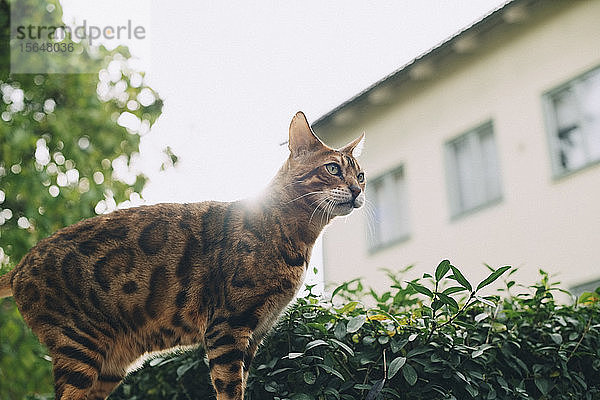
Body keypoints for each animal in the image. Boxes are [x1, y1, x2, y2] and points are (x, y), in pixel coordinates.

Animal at [0, 111, 366, 400]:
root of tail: (19, 267)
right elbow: (229, 389)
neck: (294, 235)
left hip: (110, 363)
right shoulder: (227, 328)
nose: (358, 189)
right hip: (78, 347)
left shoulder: (254, 335)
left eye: (360, 174)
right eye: (333, 169)